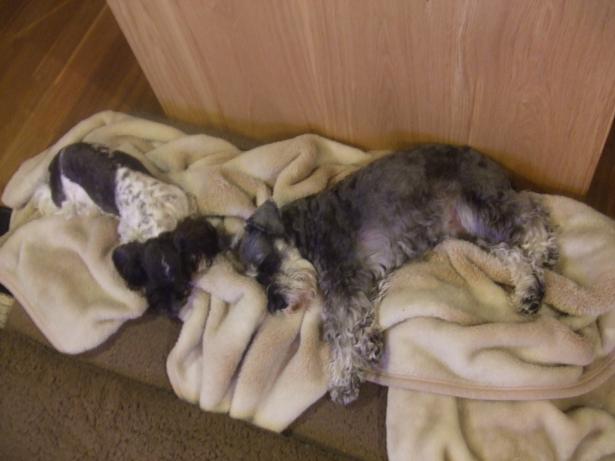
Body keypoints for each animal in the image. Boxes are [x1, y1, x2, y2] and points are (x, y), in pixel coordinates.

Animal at [238, 144, 558, 405]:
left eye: (266, 264)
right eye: (256, 278)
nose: (275, 305)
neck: (305, 231)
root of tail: (491, 163)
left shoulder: (343, 282)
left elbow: (339, 332)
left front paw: (341, 381)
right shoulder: (363, 281)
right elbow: (360, 319)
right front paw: (369, 344)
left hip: (481, 207)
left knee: (532, 212)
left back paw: (545, 249)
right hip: (475, 232)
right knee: (513, 252)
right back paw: (529, 292)